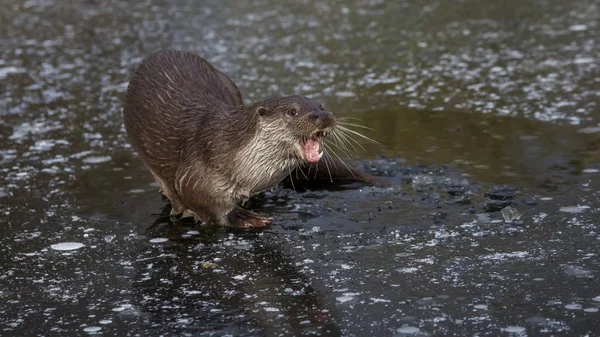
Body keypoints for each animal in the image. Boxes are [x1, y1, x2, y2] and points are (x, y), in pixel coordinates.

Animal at [124, 49, 382, 228]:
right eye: (293, 112)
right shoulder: (194, 169)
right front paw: (243, 216)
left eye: (320, 106)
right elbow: (202, 199)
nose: (324, 117)